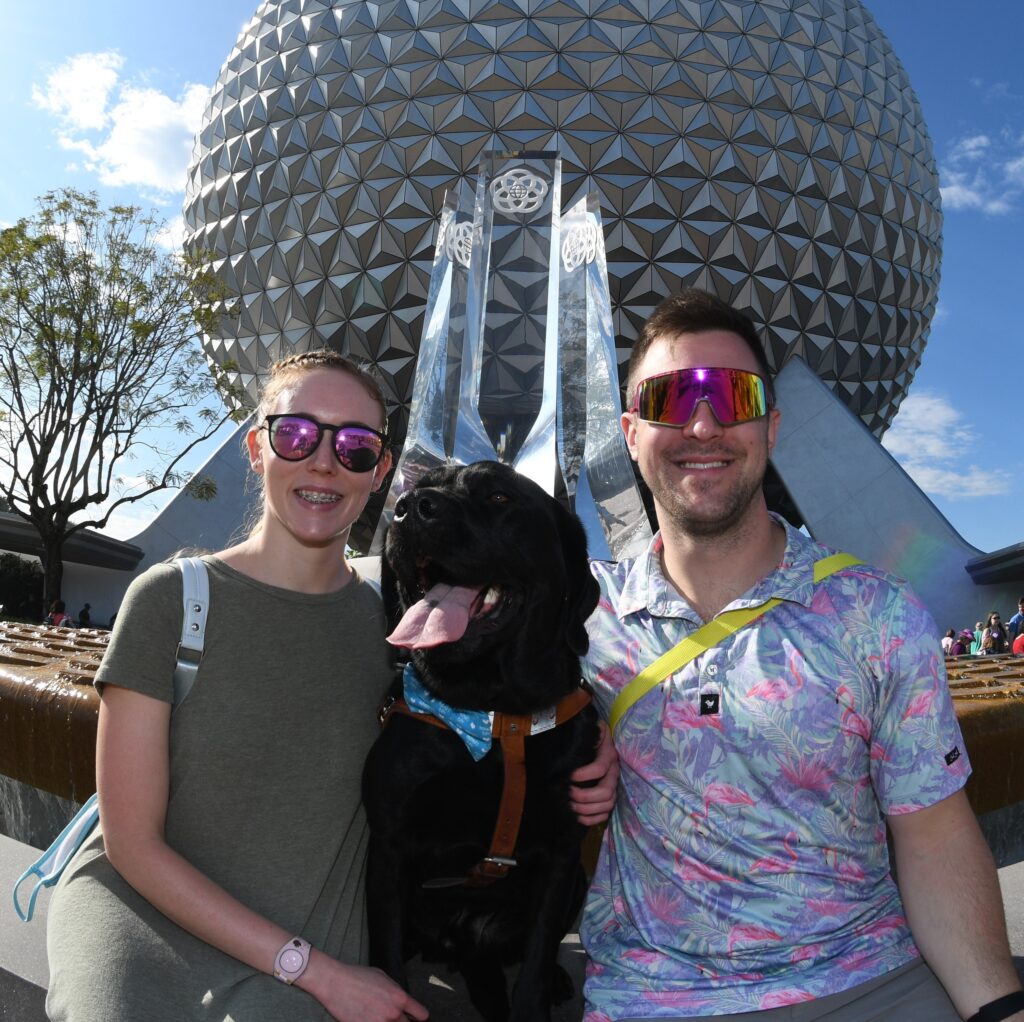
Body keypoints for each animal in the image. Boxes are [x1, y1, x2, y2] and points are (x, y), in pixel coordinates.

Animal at [364, 464, 598, 1022]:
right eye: (414, 488)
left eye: (498, 496)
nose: (409, 507)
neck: (494, 716)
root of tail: (463, 944)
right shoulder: (387, 843)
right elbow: (387, 958)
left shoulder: (563, 853)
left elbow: (535, 964)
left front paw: (538, 994)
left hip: (579, 880)